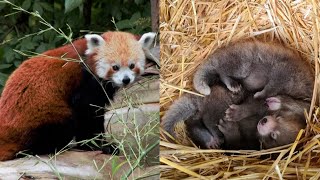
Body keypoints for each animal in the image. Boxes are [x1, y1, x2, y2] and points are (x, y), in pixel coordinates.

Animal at [0, 30, 156, 160]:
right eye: (115, 67)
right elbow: (85, 113)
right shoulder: (86, 83)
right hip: (42, 114)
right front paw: (98, 146)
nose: (126, 79)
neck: (87, 58)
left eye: (132, 66)